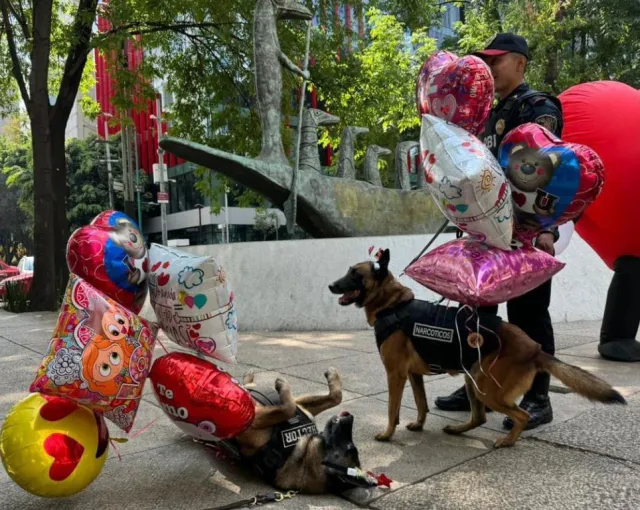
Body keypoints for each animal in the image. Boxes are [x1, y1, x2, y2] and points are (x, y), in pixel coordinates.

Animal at [330, 249, 624, 448]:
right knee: (480, 417)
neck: (393, 305)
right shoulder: (413, 375)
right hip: (474, 381)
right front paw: (419, 425)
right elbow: (421, 403)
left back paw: (507, 441)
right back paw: (458, 430)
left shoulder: (395, 375)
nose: (332, 285)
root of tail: (534, 348)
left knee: (522, 414)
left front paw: (388, 434)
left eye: (355, 275)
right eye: (347, 271)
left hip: (487, 388)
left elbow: (393, 410)